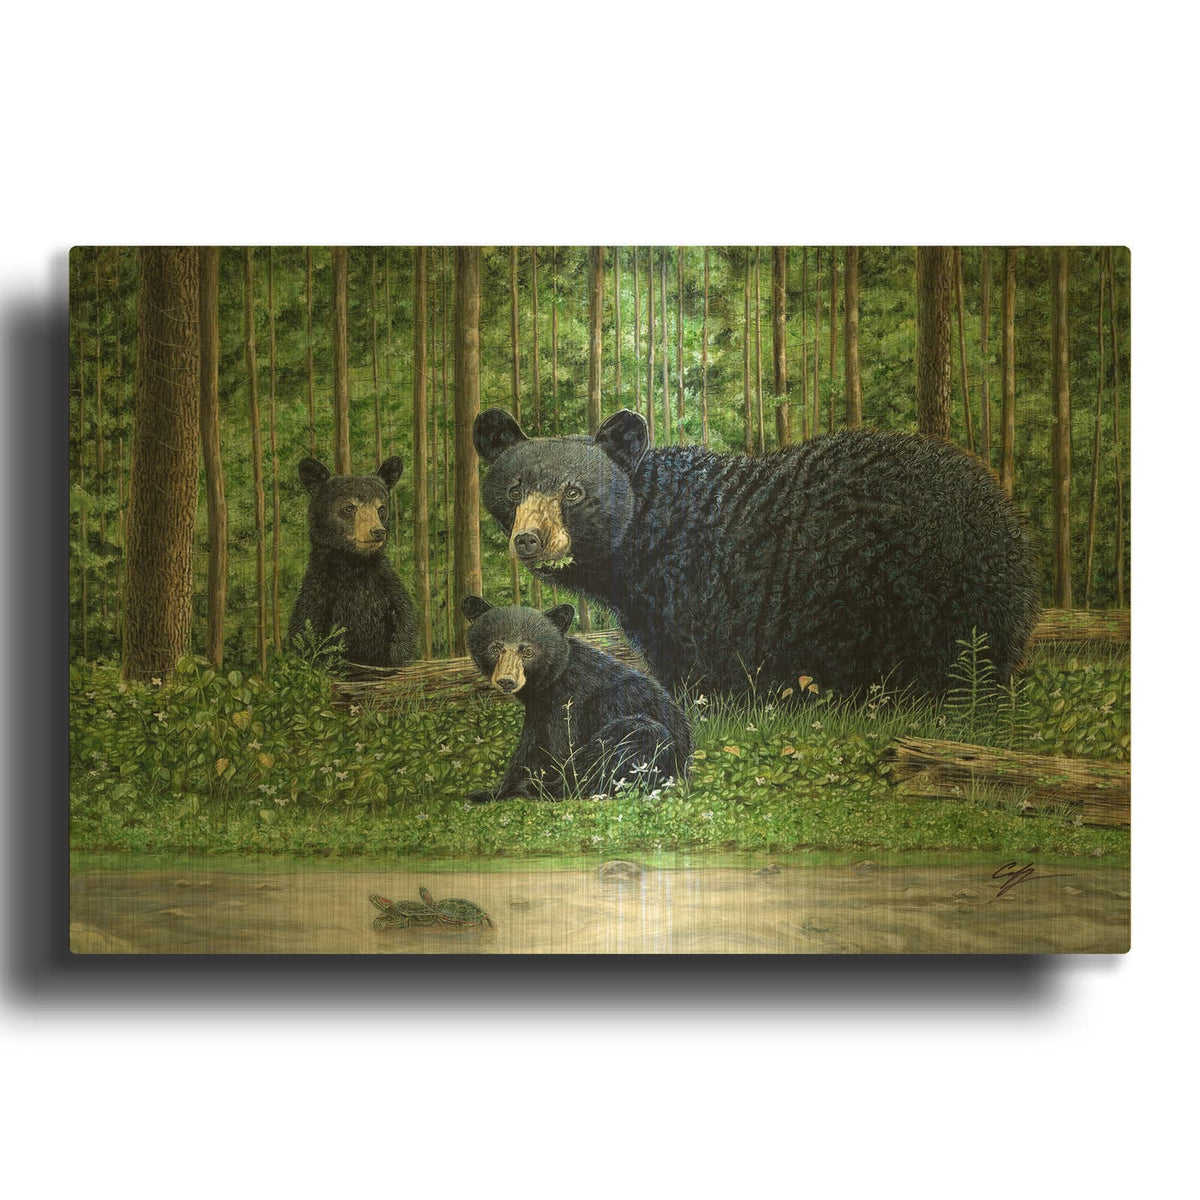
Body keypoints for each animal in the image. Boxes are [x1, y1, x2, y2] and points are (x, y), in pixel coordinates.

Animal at [287, 456, 416, 669]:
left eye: (381, 508)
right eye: (349, 508)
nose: (377, 531)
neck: (354, 564)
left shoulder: (385, 586)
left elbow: (405, 622)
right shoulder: (319, 596)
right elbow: (306, 635)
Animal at [462, 596, 693, 802]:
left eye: (527, 651)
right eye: (495, 648)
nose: (506, 680)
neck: (552, 680)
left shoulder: (570, 702)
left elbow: (559, 747)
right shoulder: (538, 710)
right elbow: (529, 747)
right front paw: (489, 791)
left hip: (644, 738)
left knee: (612, 753)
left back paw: (542, 788)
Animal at [473, 408, 1038, 698]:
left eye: (573, 492)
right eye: (514, 488)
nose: (529, 539)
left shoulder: (698, 597)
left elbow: (705, 674)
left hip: (928, 597)